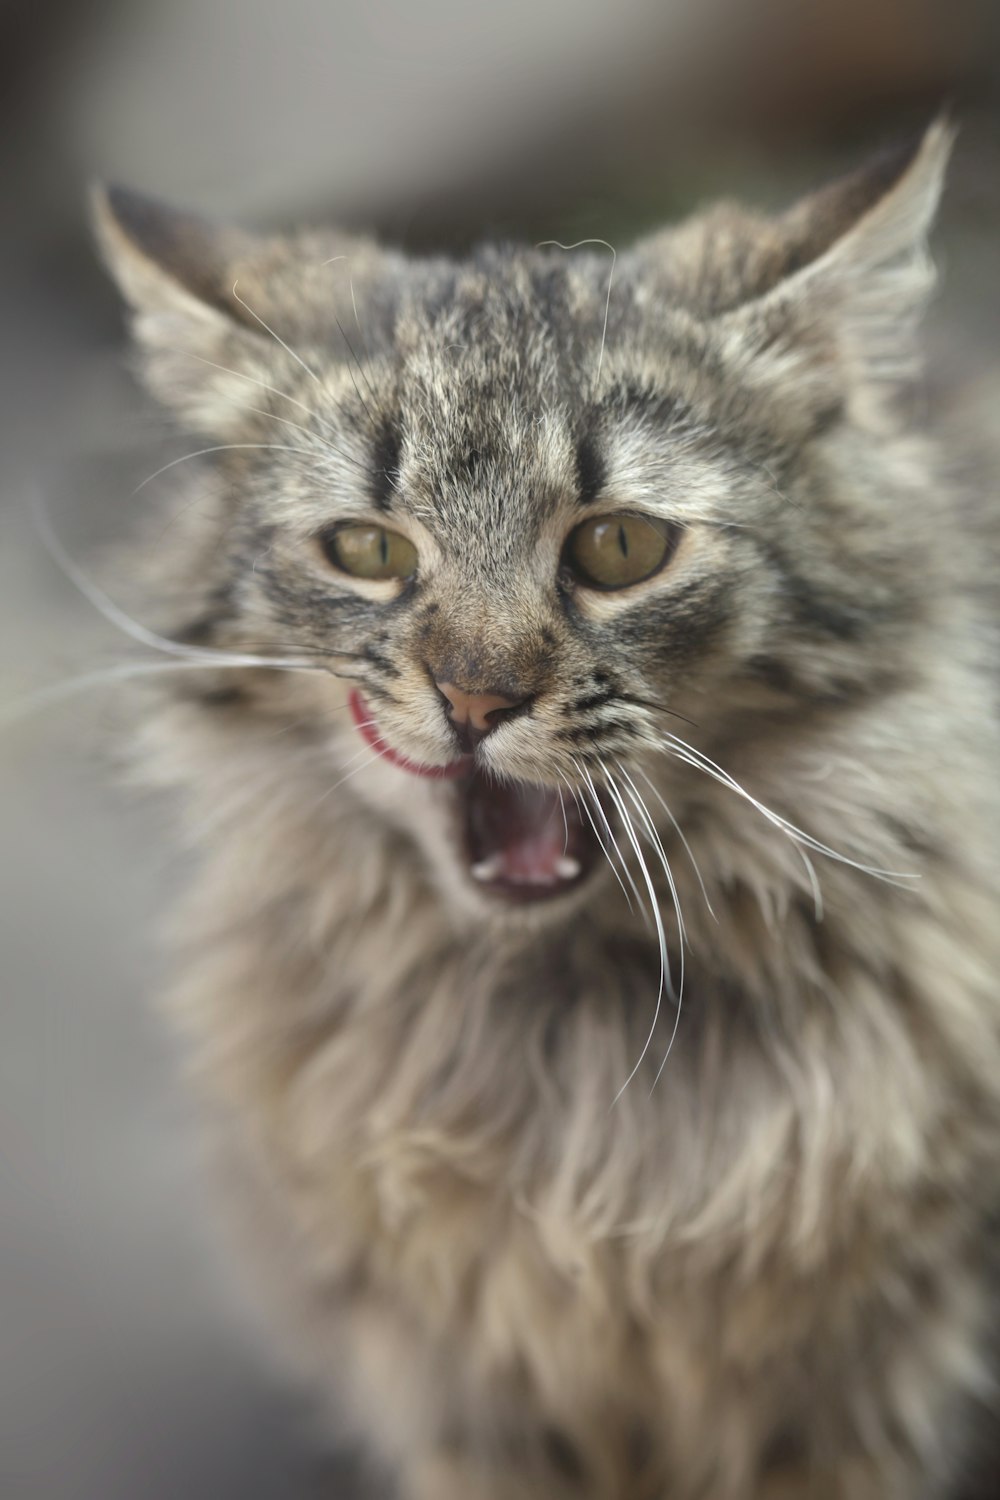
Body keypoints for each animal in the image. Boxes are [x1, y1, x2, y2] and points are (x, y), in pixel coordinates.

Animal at [93, 120, 1000, 1500]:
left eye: (619, 548)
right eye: (368, 551)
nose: (475, 698)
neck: (569, 1046)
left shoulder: (869, 1398)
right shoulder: (463, 1392)